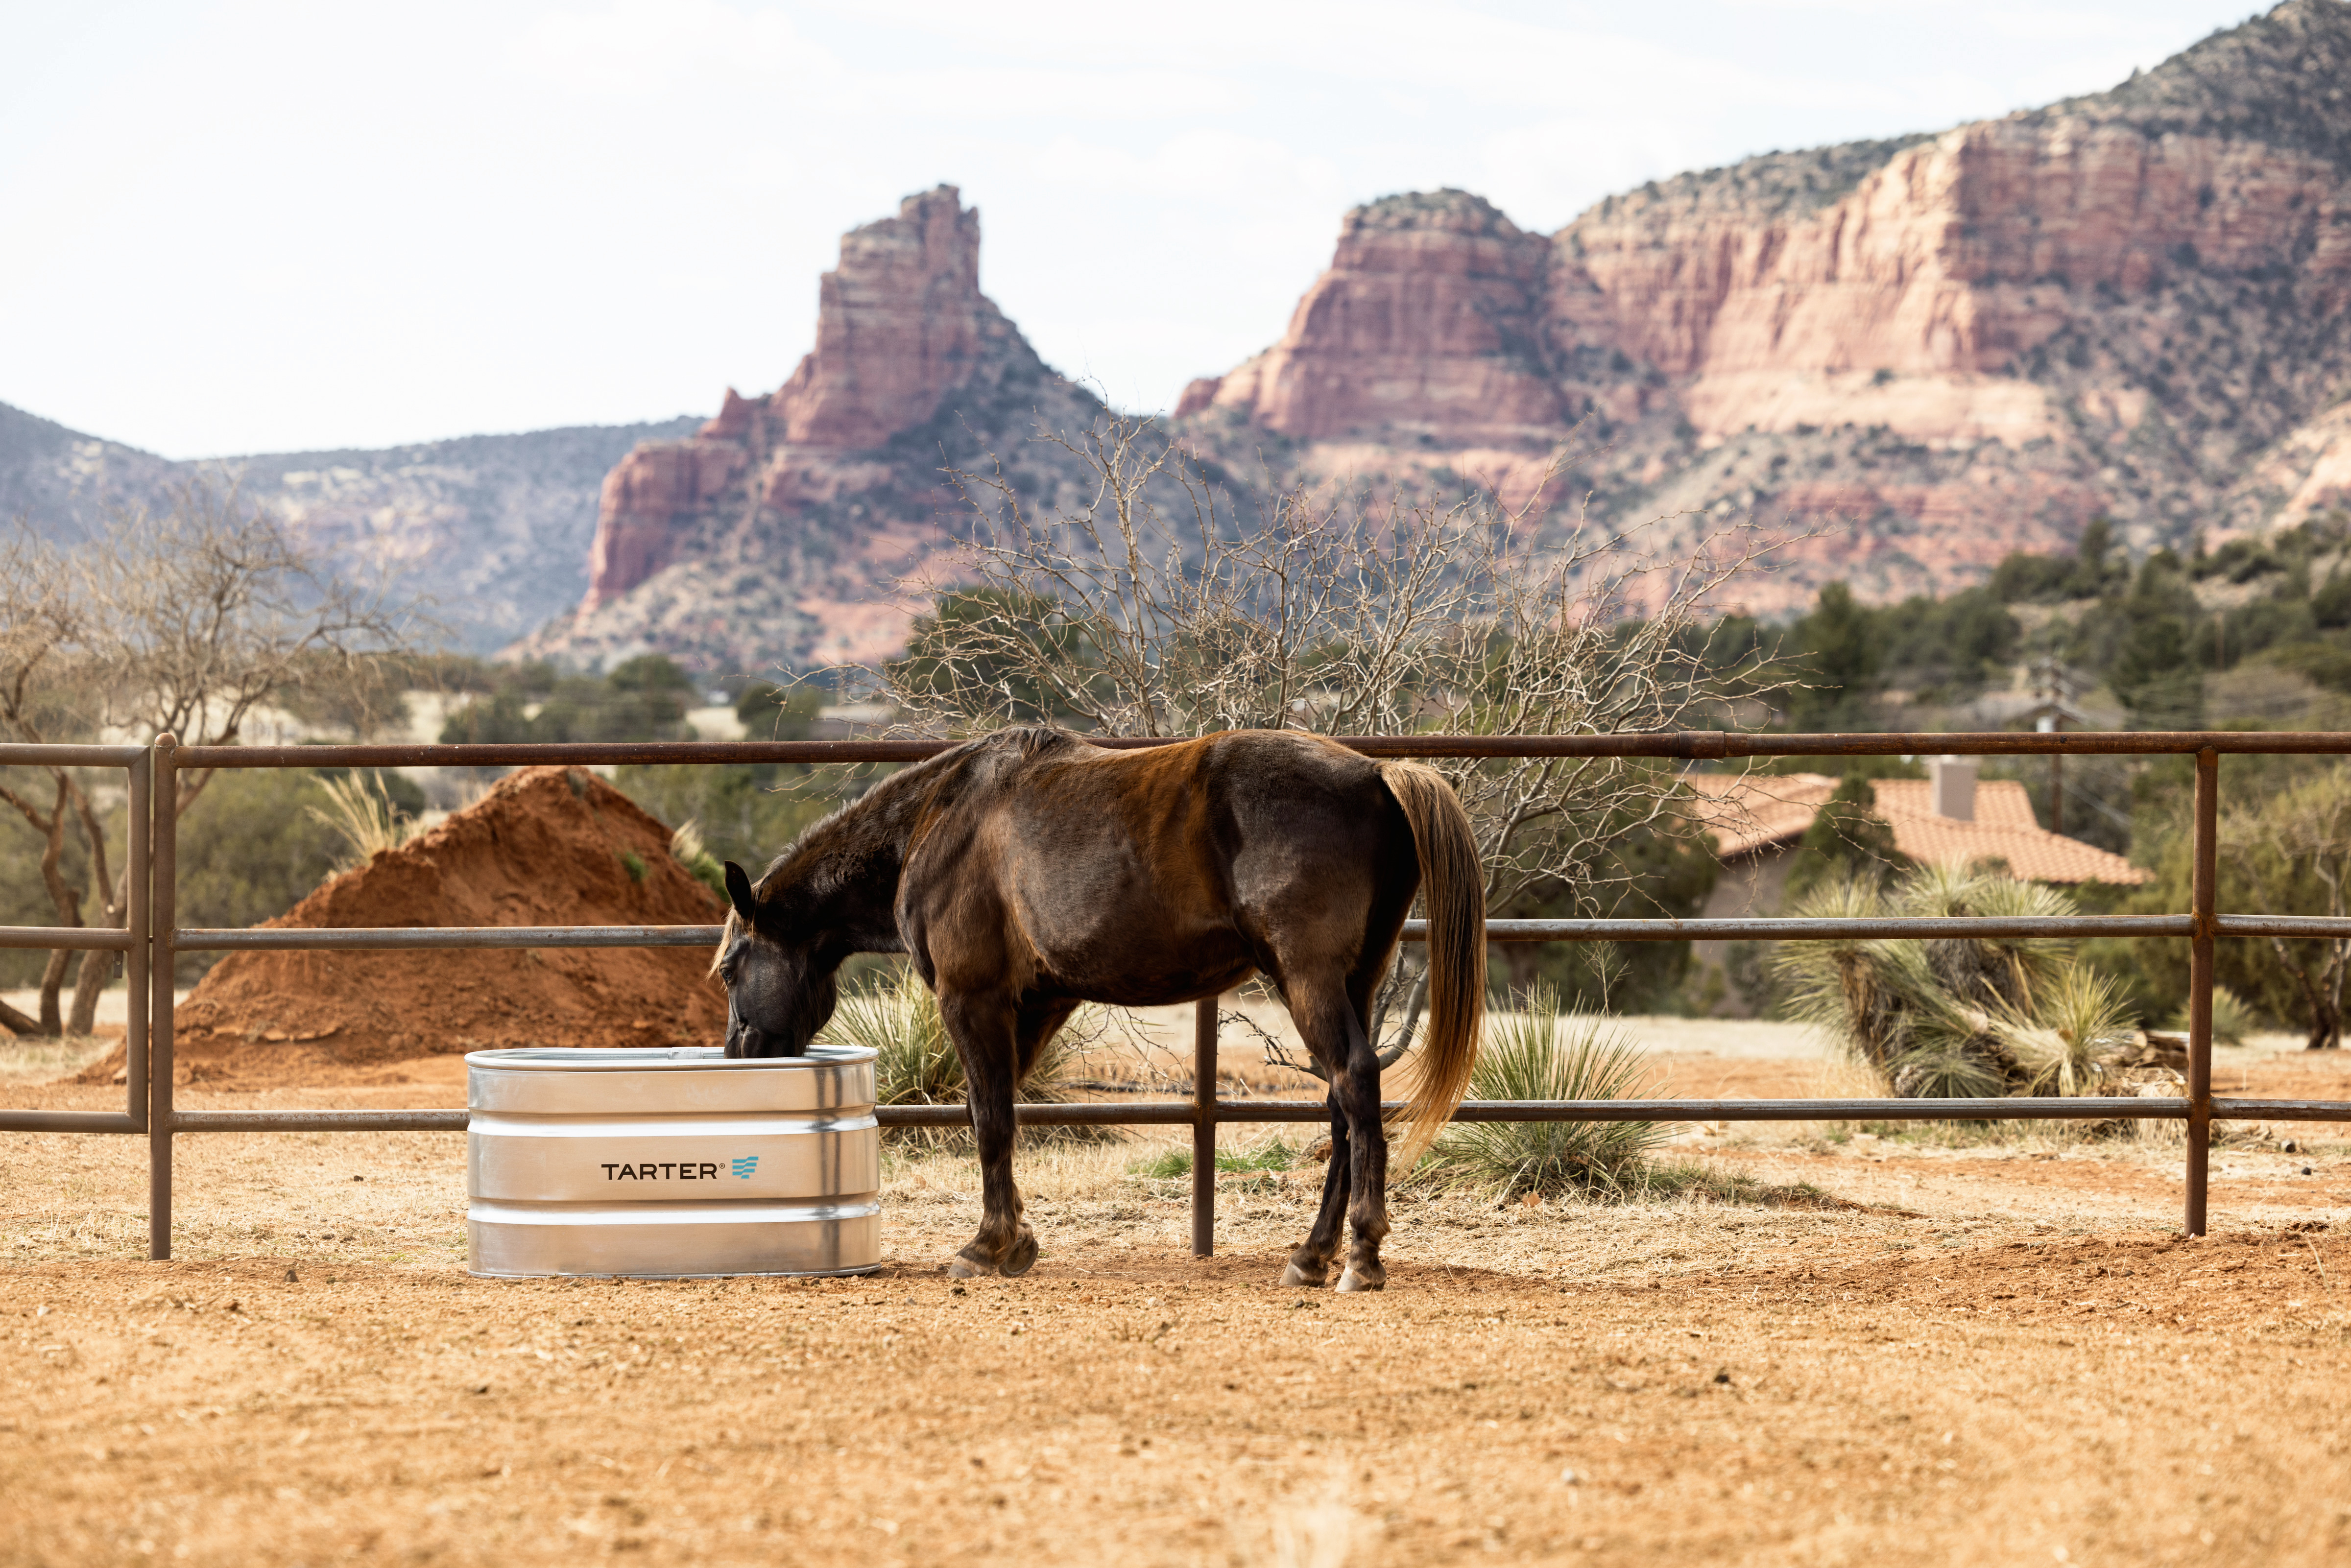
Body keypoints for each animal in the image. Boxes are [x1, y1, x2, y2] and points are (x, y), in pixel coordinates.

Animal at [715, 724, 1486, 1288]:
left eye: (728, 969)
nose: (737, 1052)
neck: (940, 823)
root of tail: (1376, 775)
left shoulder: (971, 998)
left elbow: (988, 1119)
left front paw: (985, 1245)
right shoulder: (1040, 1002)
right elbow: (1000, 1113)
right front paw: (1016, 1239)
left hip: (1309, 980)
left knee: (1355, 1081)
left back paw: (1360, 1254)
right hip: (1354, 980)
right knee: (1340, 1105)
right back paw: (1311, 1253)